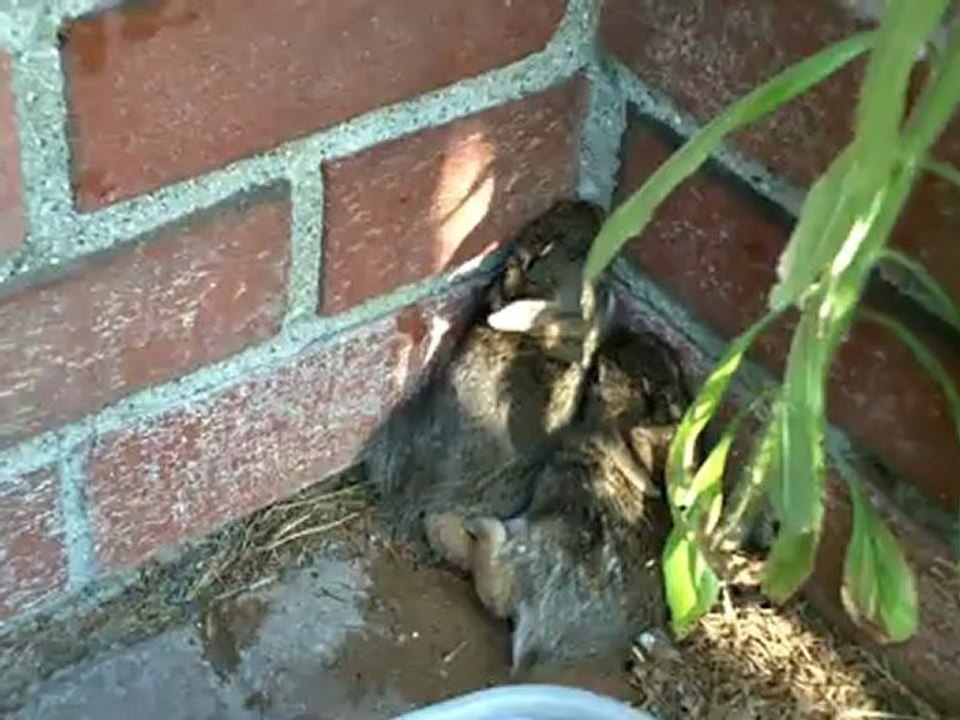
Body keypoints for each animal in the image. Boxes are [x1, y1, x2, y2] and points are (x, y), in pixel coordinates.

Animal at [423, 326, 689, 671]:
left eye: (599, 377)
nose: (622, 335)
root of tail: (540, 637)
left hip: (524, 543)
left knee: (493, 584)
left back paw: (462, 524)